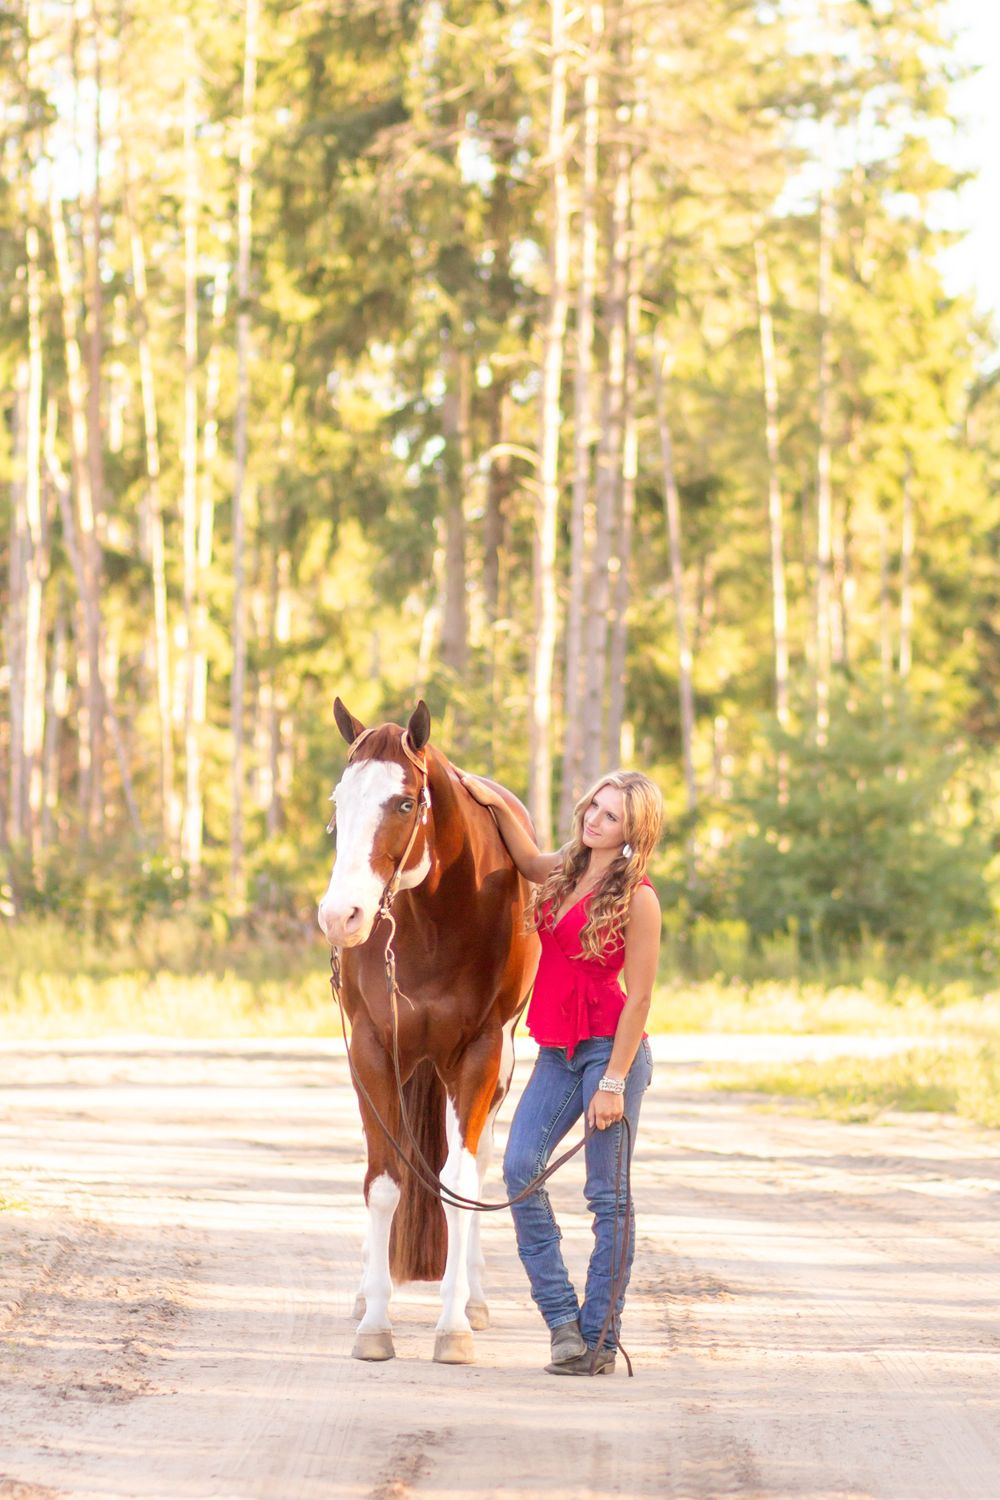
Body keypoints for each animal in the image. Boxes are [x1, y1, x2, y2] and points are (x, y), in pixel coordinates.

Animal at [317, 698, 540, 1364]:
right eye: (339, 802)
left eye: (404, 803)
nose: (340, 916)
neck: (434, 920)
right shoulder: (372, 1050)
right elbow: (384, 1181)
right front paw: (375, 1323)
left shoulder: (479, 1054)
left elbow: (458, 1181)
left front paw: (454, 1326)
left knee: (478, 1163)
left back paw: (475, 1297)